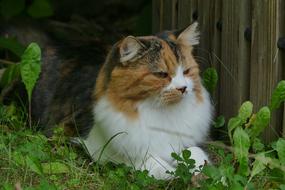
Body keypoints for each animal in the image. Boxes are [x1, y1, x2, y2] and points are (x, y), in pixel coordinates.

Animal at [30, 21, 213, 179]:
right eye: (161, 74)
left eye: (187, 71)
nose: (183, 88)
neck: (162, 112)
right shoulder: (83, 140)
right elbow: (147, 160)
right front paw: (172, 174)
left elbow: (196, 153)